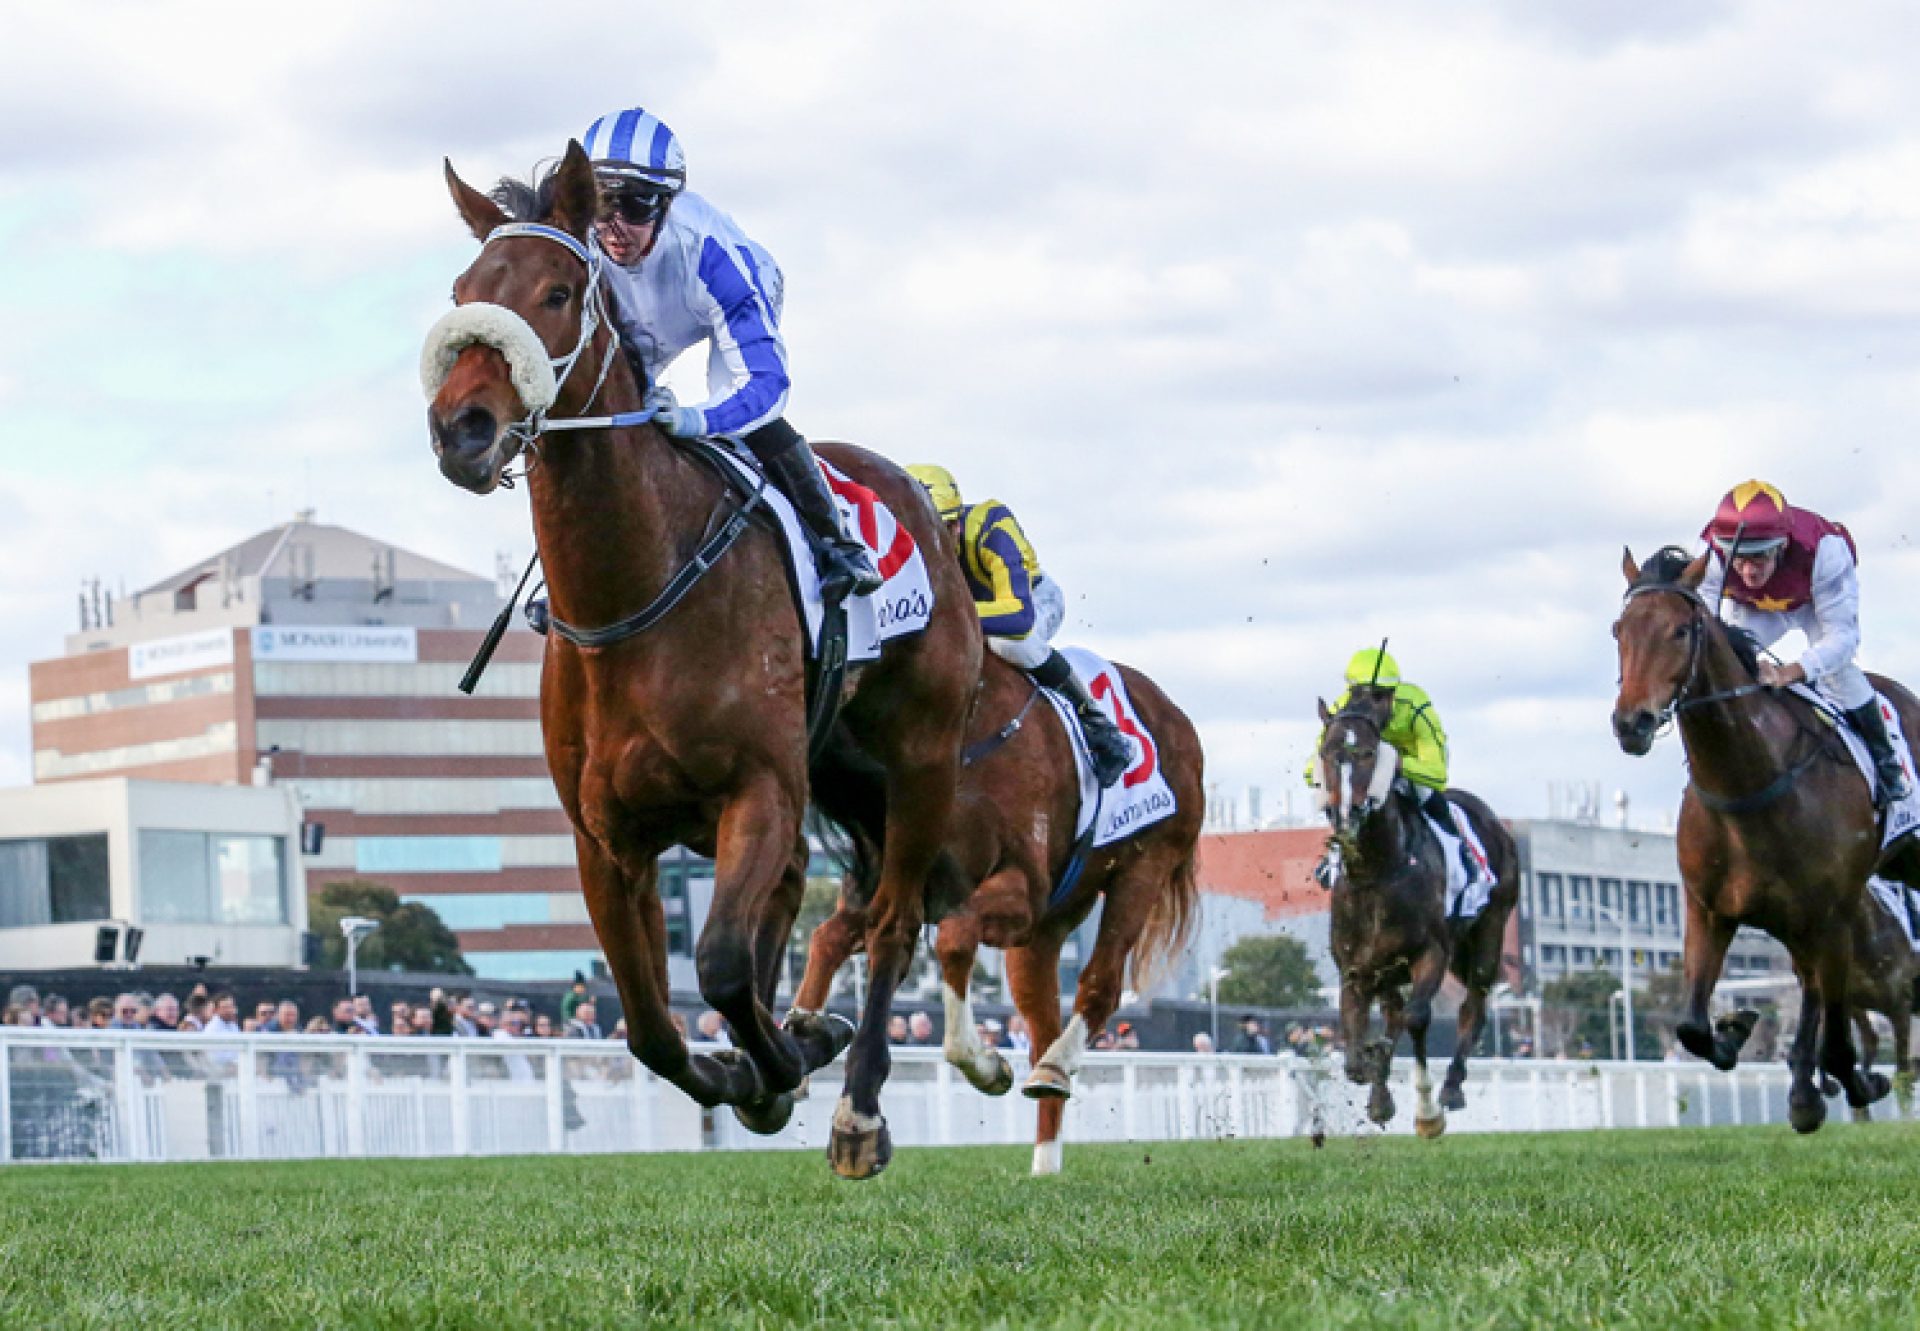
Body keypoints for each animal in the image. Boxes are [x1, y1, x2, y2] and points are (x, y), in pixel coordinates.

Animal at [428, 140, 983, 1175]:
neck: (632, 599)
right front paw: (750, 1070)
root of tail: (921, 502)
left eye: (558, 291)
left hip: (921, 759)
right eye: (462, 291)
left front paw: (788, 1059)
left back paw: (857, 1109)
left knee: (891, 922)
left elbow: (720, 963)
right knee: (805, 895)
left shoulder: (757, 788)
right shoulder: (606, 837)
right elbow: (651, 1022)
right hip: (831, 767)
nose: (462, 430)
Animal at [791, 653, 1198, 1175]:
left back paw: (1056, 1067)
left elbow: (954, 935)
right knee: (1042, 1023)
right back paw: (1044, 1160)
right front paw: (802, 1037)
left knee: (1101, 983)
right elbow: (828, 935)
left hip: (1143, 868)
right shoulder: (887, 882)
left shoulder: (1021, 890)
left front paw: (983, 1063)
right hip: (1047, 929)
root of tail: (1177, 715)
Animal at [1313, 699, 1520, 1137]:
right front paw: (1373, 1079)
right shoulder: (1357, 968)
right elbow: (1356, 1047)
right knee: (1397, 1015)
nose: (1345, 815)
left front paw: (1427, 1113)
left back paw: (1451, 1088)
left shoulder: (1431, 953)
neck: (1377, 871)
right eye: (1325, 753)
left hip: (1488, 931)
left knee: (1472, 1006)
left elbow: (1417, 1018)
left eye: (1369, 752)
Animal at [1612, 545, 1912, 1129]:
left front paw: (1860, 1082)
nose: (1630, 723)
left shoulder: (1834, 915)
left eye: (1680, 630)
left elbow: (1841, 1042)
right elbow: (1692, 1027)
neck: (1747, 785)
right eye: (1619, 630)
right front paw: (1736, 1030)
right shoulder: (1709, 910)